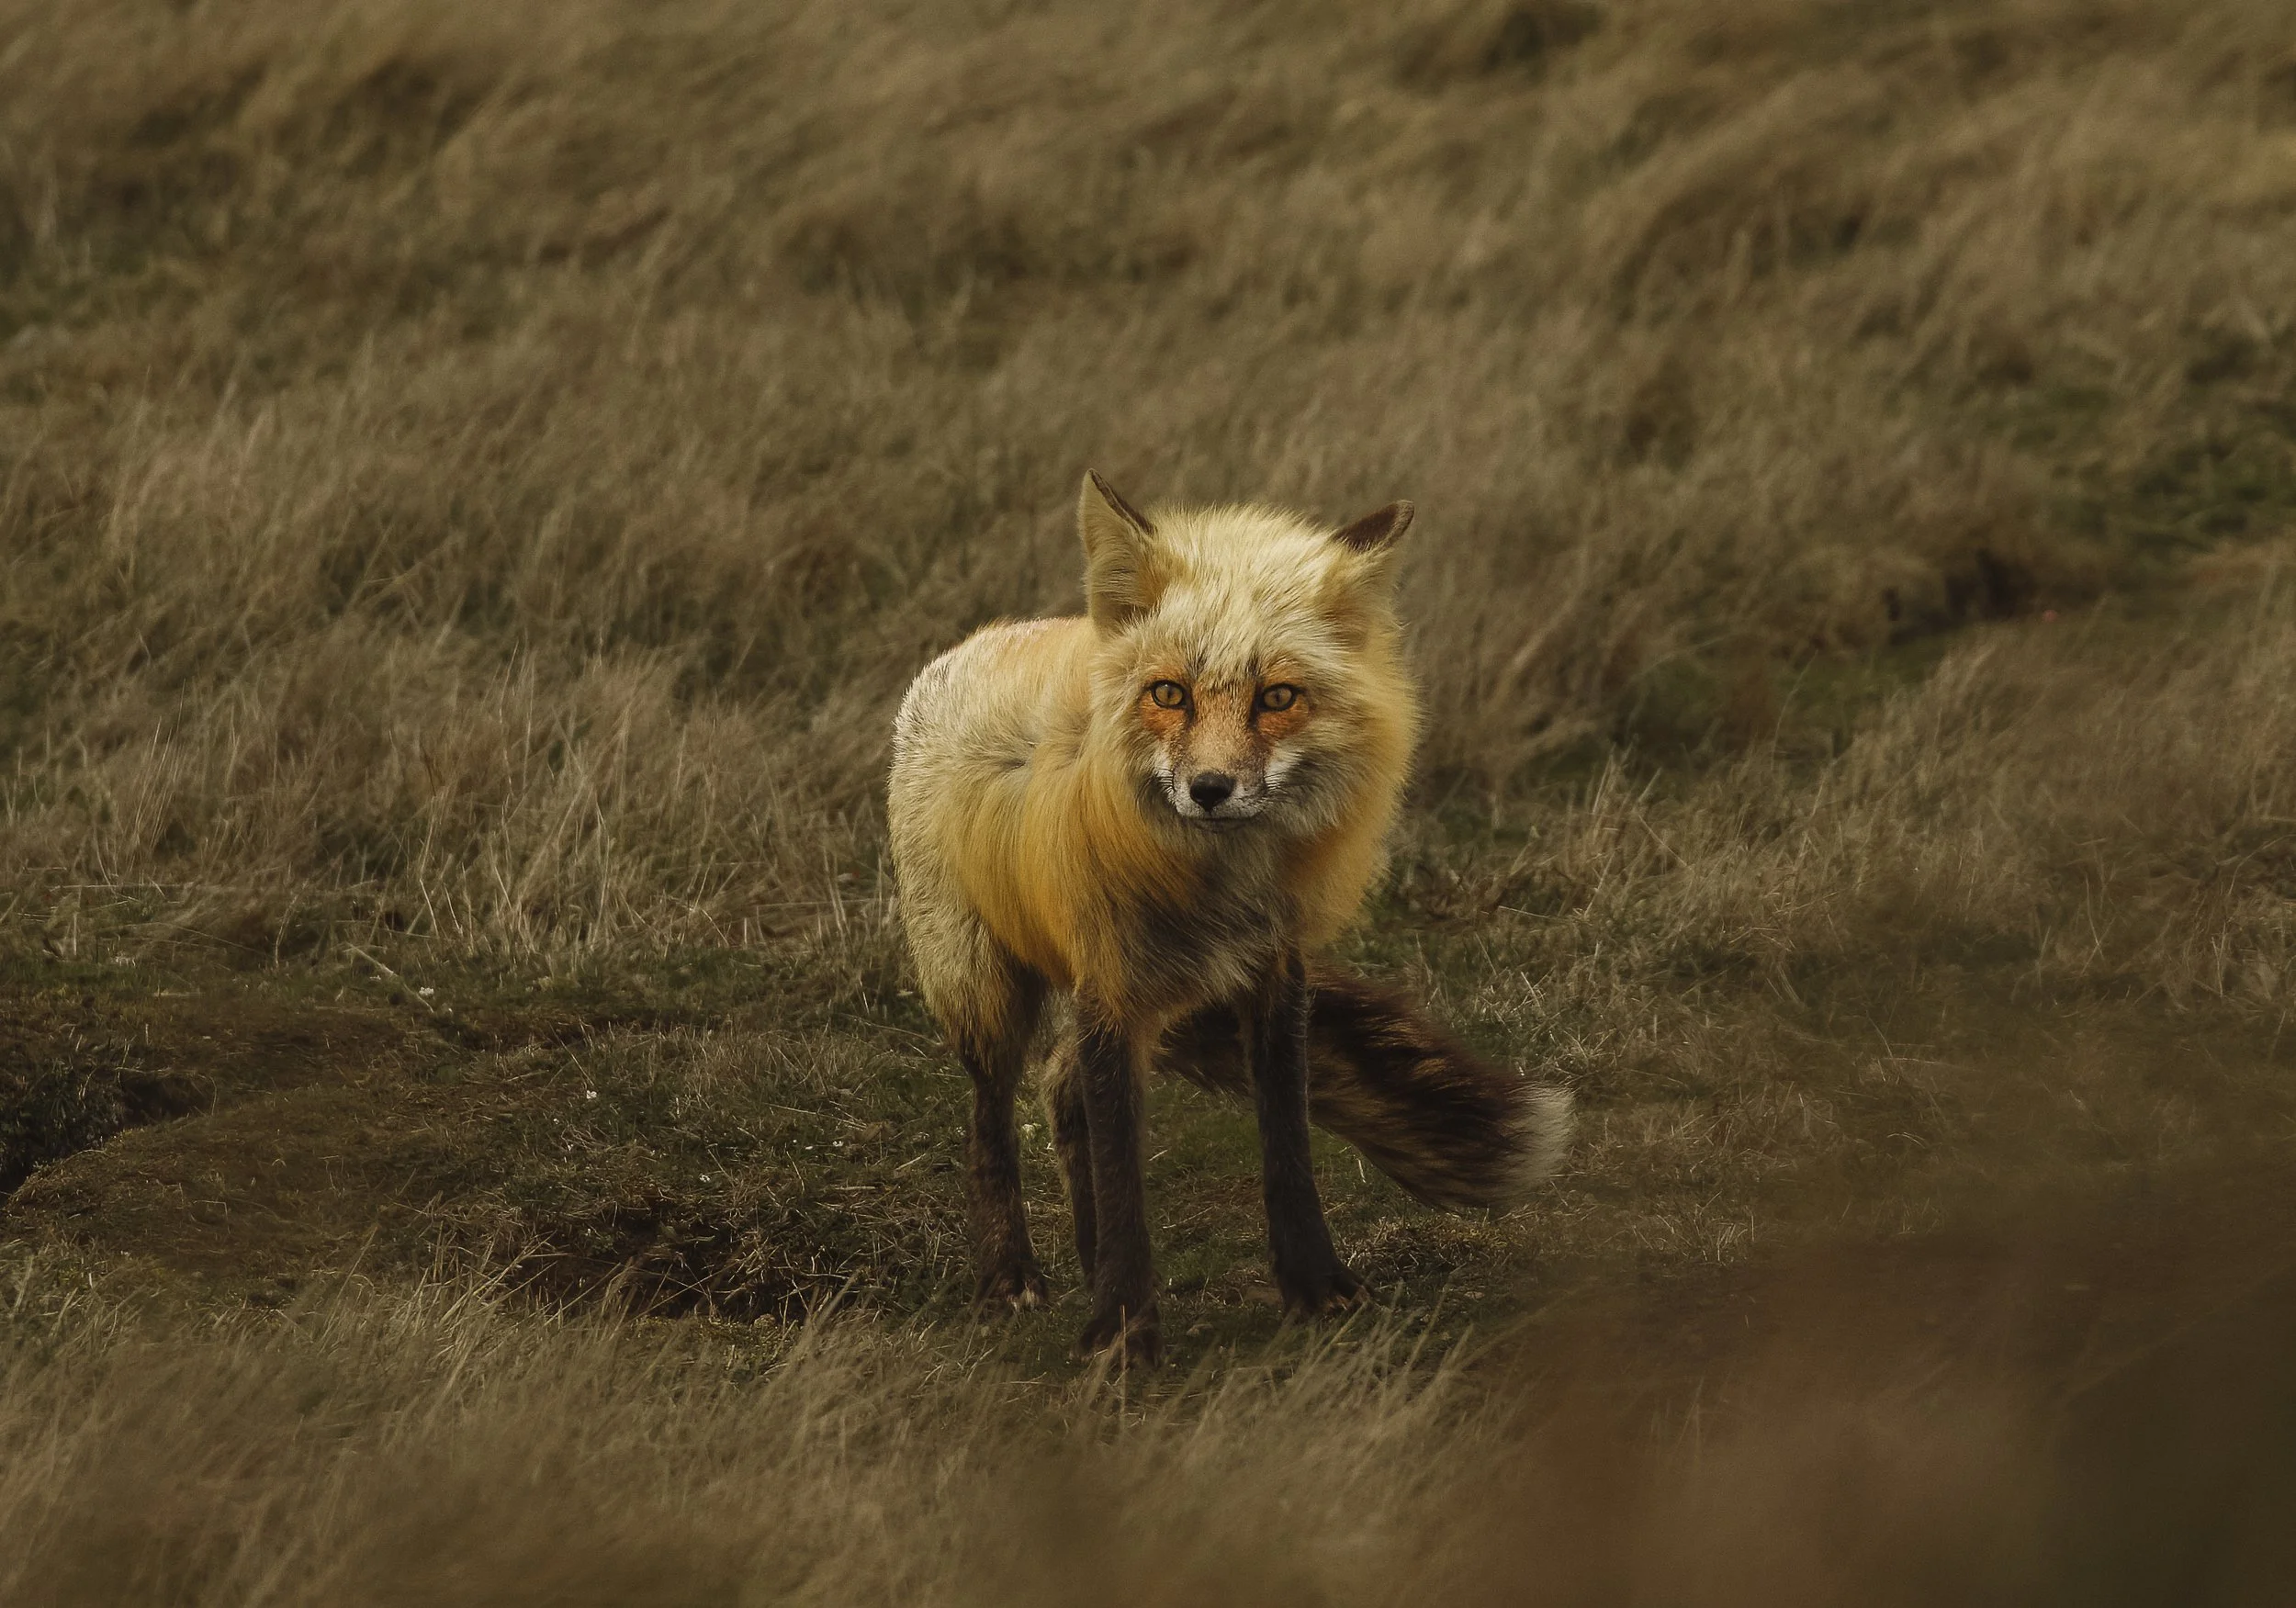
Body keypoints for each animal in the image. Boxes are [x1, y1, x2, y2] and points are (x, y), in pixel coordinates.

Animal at [887, 471, 1573, 1363]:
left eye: (1277, 697)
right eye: (1168, 694)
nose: (1209, 789)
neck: (1220, 887)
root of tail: (964, 647)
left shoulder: (1270, 974)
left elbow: (1286, 1147)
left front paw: (1316, 1288)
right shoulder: (1112, 985)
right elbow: (1122, 1165)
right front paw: (1123, 1330)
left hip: (1154, 1000)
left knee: (1062, 1088)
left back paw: (1085, 1256)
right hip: (982, 986)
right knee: (992, 1120)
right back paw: (1010, 1274)